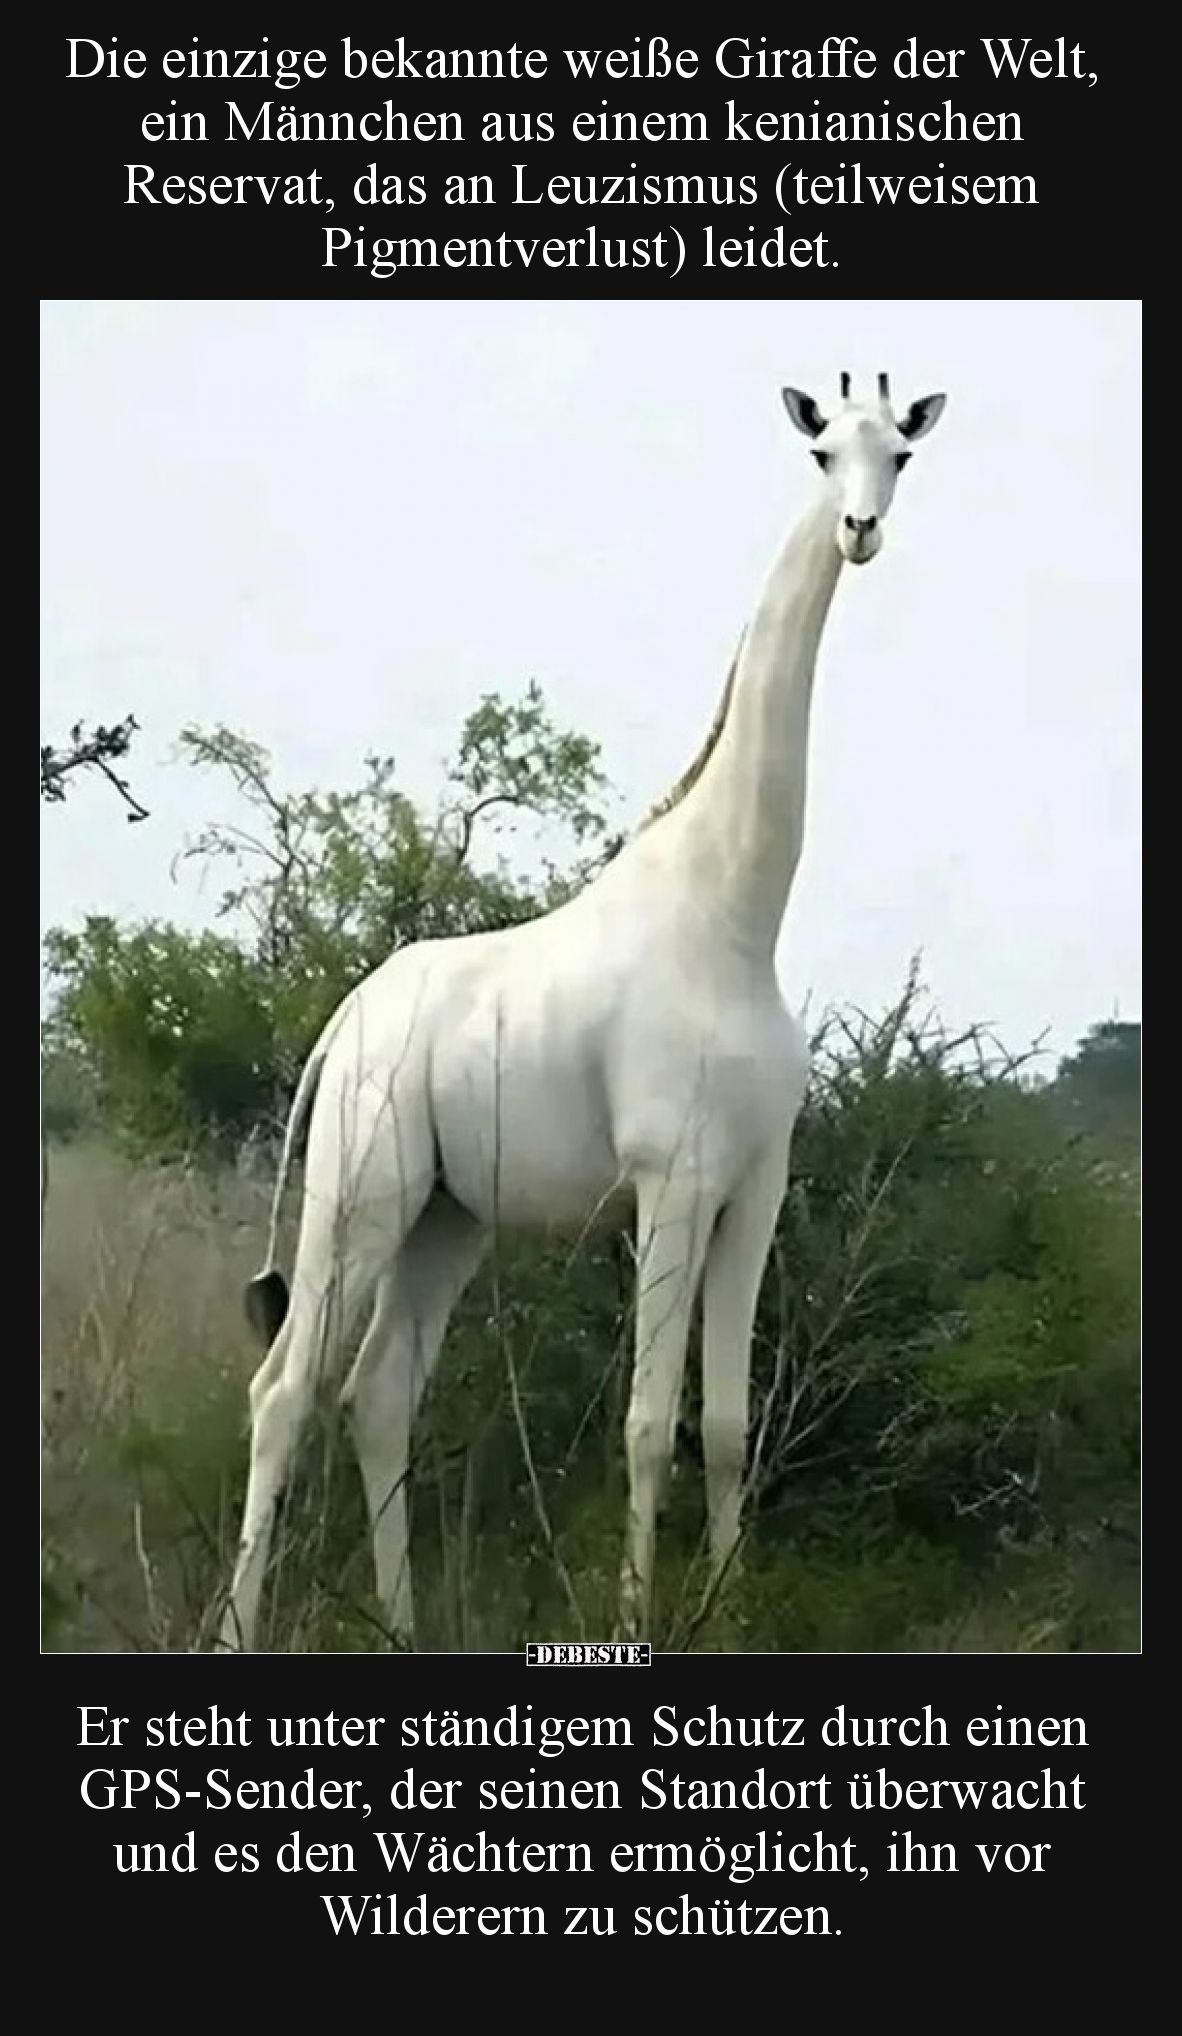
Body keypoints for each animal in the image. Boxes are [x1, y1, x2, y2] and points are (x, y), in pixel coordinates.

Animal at [220, 371, 946, 1652]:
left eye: (900, 454)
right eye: (823, 454)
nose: (861, 531)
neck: (736, 915)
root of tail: (342, 1025)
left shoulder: (755, 1184)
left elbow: (726, 1425)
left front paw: (729, 1613)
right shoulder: (672, 1177)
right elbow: (649, 1424)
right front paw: (637, 1620)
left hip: (447, 1215)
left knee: (377, 1389)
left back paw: (406, 1626)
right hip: (363, 1188)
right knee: (284, 1388)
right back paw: (241, 1631)